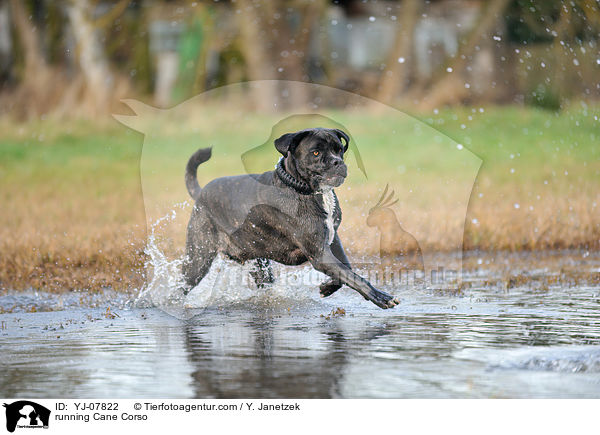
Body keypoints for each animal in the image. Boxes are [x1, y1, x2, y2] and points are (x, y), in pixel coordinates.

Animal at [183, 127, 398, 308]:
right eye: (316, 153)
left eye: (339, 150)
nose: (338, 162)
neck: (303, 189)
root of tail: (201, 193)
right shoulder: (319, 254)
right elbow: (353, 276)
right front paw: (380, 296)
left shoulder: (332, 240)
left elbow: (346, 269)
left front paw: (327, 287)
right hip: (198, 259)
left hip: (259, 264)